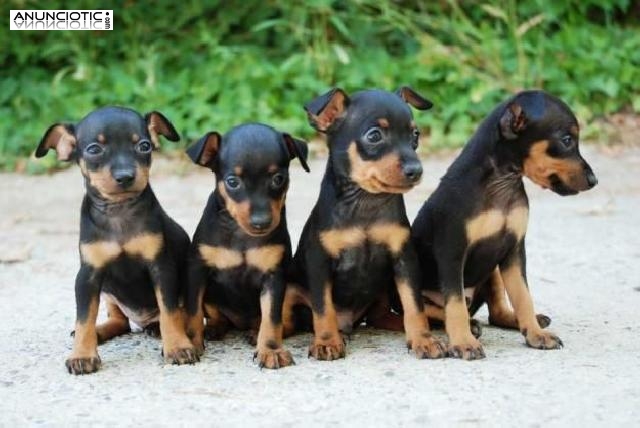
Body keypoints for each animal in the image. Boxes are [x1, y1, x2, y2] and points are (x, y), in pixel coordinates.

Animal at [37, 106, 198, 374]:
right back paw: (100, 332)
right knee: (119, 322)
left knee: (166, 316)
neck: (118, 211)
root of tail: (143, 320)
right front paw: (82, 355)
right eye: (94, 149)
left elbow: (170, 311)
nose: (125, 176)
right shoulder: (89, 275)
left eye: (144, 146)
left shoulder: (161, 269)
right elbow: (84, 318)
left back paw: (157, 330)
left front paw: (177, 346)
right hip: (107, 291)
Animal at [184, 123, 308, 368]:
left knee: (282, 322)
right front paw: (191, 343)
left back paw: (254, 333)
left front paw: (271, 350)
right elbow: (193, 312)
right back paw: (214, 329)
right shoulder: (197, 271)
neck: (240, 234)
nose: (261, 222)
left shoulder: (274, 277)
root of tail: (240, 323)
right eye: (233, 182)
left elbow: (272, 318)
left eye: (278, 178)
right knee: (218, 316)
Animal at [282, 88, 448, 362]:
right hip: (291, 290)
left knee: (382, 316)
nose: (416, 170)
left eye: (415, 135)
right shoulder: (319, 262)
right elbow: (323, 308)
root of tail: (349, 323)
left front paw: (424, 340)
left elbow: (415, 305)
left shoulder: (405, 259)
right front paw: (326, 342)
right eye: (374, 136)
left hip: (387, 287)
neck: (366, 201)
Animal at [412, 92, 596, 360]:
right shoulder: (452, 252)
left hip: (494, 267)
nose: (594, 180)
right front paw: (463, 342)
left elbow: (523, 296)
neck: (502, 182)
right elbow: (454, 303)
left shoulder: (514, 249)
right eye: (566, 140)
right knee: (445, 309)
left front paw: (536, 334)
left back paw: (525, 321)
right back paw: (469, 326)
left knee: (495, 313)